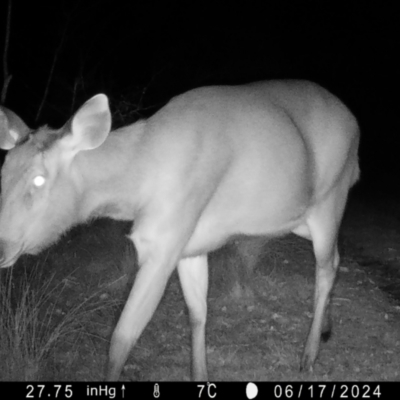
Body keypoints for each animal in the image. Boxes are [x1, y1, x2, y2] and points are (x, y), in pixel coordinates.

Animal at [0, 79, 360, 380]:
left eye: (39, 179)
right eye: (2, 172)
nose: (2, 248)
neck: (138, 182)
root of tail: (354, 123)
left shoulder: (165, 241)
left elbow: (121, 339)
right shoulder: (190, 245)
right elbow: (197, 312)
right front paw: (201, 375)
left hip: (330, 200)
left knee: (326, 268)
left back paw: (309, 355)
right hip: (300, 218)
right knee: (336, 259)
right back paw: (326, 329)